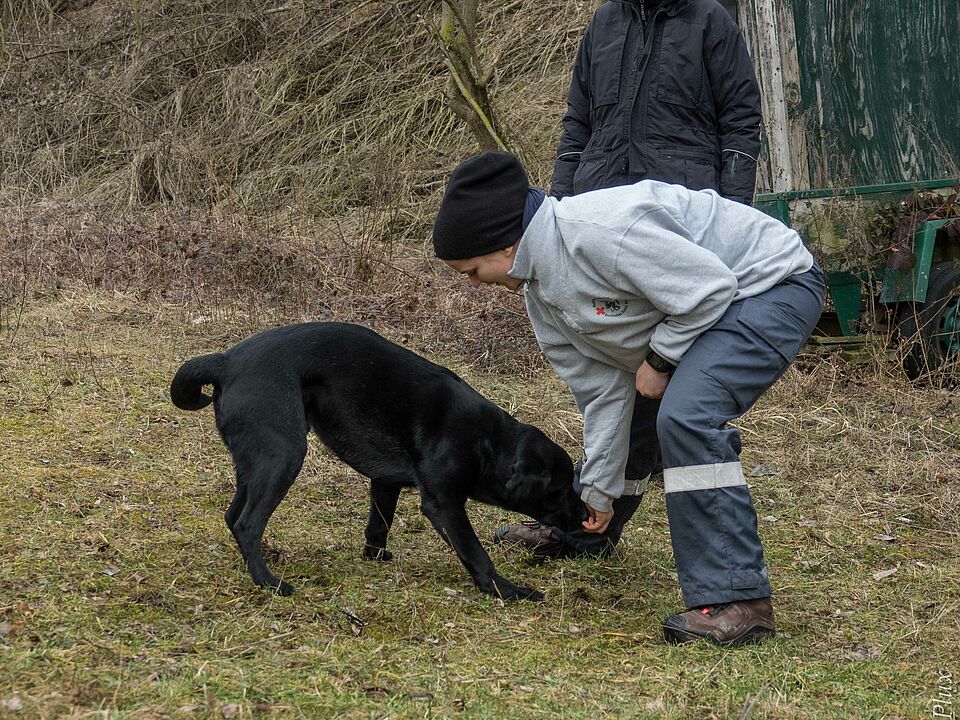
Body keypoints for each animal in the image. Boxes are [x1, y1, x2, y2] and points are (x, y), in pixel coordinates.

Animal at [169, 324, 580, 600]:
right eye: (560, 490)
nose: (584, 518)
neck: (490, 441)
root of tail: (226, 361)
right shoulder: (444, 503)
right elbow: (474, 552)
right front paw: (506, 590)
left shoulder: (386, 482)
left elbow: (378, 525)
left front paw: (376, 558)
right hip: (283, 456)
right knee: (247, 522)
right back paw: (268, 582)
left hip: (256, 461)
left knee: (233, 515)